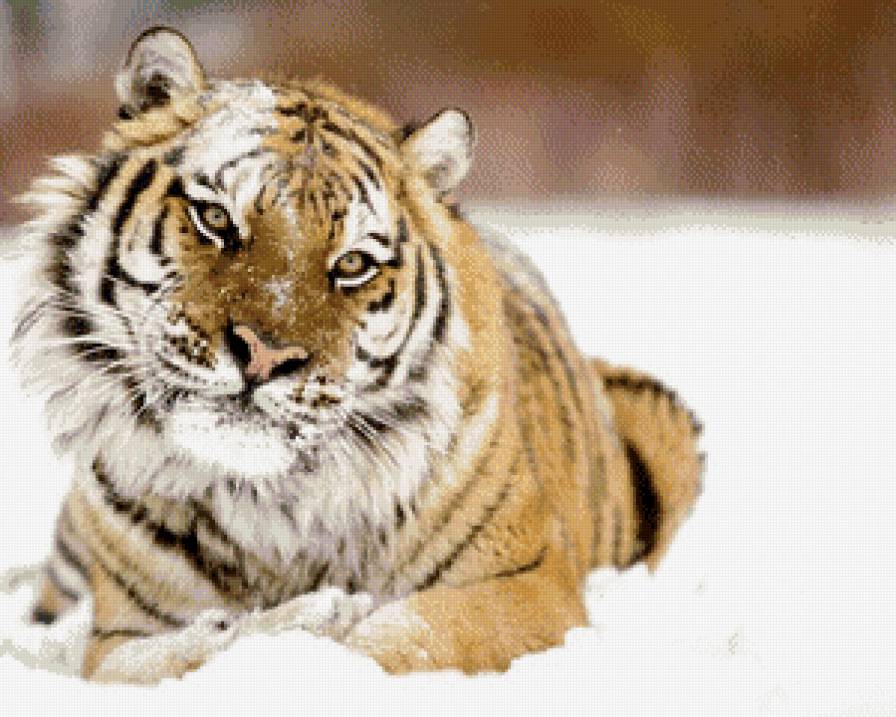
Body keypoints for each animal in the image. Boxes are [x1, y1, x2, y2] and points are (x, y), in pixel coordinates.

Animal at [8, 27, 703, 682]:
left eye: (352, 264)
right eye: (216, 218)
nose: (264, 356)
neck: (268, 506)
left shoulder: (530, 586)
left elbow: (399, 638)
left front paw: (323, 623)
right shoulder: (119, 635)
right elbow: (167, 658)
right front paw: (297, 619)